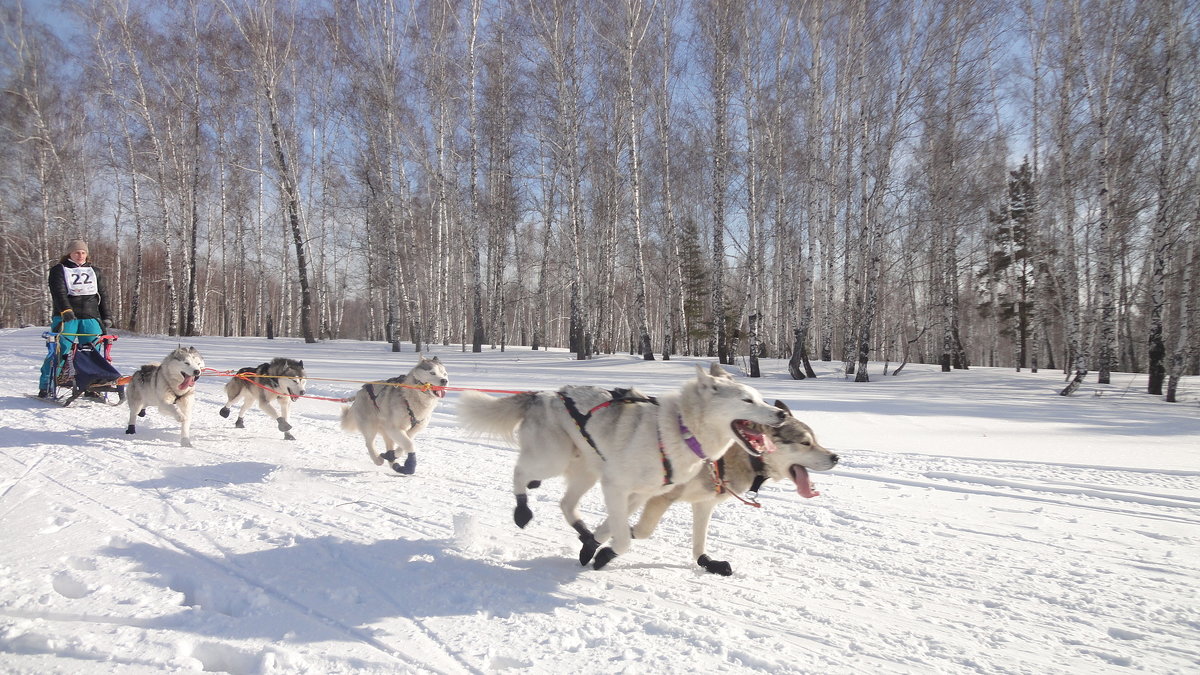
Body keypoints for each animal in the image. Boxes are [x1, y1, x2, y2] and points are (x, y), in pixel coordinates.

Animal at [453, 362, 782, 566]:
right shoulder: (616, 487)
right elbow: (623, 539)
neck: (679, 429)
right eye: (747, 400)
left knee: (565, 503)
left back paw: (582, 531)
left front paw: (593, 546)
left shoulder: (638, 494)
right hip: (552, 459)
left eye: (760, 398)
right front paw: (604, 553)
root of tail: (544, 394)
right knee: (520, 471)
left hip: (585, 473)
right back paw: (522, 509)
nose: (780, 414)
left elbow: (615, 525)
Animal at [633, 398, 840, 571]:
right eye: (805, 442)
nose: (836, 457)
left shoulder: (704, 504)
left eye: (815, 440)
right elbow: (642, 531)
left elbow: (700, 542)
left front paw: (707, 561)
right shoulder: (660, 496)